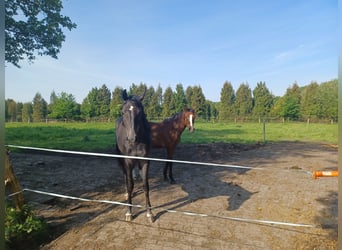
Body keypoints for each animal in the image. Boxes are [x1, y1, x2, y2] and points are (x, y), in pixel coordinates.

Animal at [115, 89, 153, 222]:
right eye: (123, 111)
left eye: (140, 112)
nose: (132, 138)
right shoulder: (128, 161)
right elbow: (130, 184)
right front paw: (129, 212)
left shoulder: (145, 161)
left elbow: (145, 185)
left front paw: (149, 213)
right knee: (125, 176)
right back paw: (127, 193)